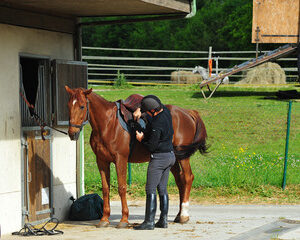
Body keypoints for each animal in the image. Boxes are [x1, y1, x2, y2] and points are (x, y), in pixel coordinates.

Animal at [64, 86, 207, 229]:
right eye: (68, 105)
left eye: (82, 106)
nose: (72, 133)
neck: (108, 124)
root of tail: (188, 112)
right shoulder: (101, 161)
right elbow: (105, 189)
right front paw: (104, 219)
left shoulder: (120, 159)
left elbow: (122, 188)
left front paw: (124, 219)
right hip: (175, 159)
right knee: (180, 181)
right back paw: (178, 215)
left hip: (183, 157)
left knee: (188, 178)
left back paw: (184, 215)